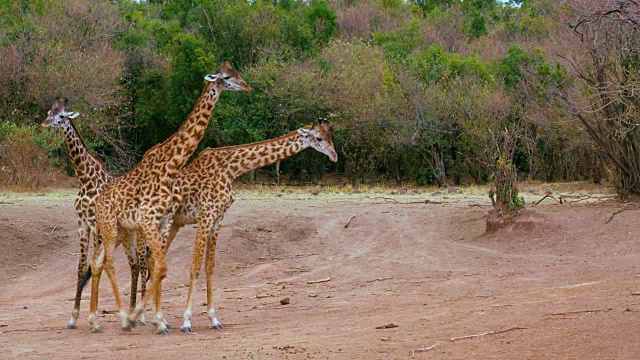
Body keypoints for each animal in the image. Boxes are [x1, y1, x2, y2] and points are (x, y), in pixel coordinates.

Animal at [42, 97, 146, 330]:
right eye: (48, 113)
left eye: (62, 116)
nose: (45, 123)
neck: (85, 179)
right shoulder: (82, 223)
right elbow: (82, 268)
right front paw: (74, 317)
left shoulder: (97, 224)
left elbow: (96, 266)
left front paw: (94, 319)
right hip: (126, 236)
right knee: (134, 265)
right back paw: (133, 312)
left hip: (142, 236)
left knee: (144, 265)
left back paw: (143, 315)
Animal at [90, 60, 250, 334]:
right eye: (227, 77)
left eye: (237, 72)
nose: (247, 87)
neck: (170, 164)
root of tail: (99, 202)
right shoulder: (148, 219)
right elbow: (159, 266)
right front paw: (146, 318)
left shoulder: (162, 220)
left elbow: (160, 267)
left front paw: (157, 319)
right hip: (111, 227)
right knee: (108, 263)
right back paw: (122, 318)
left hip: (119, 229)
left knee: (98, 262)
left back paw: (94, 321)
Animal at [160, 119, 338, 332]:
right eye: (318, 138)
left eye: (330, 136)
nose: (335, 157)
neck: (231, 169)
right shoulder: (205, 216)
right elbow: (194, 267)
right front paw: (186, 321)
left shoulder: (217, 219)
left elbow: (209, 267)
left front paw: (214, 319)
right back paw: (155, 320)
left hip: (172, 225)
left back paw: (157, 319)